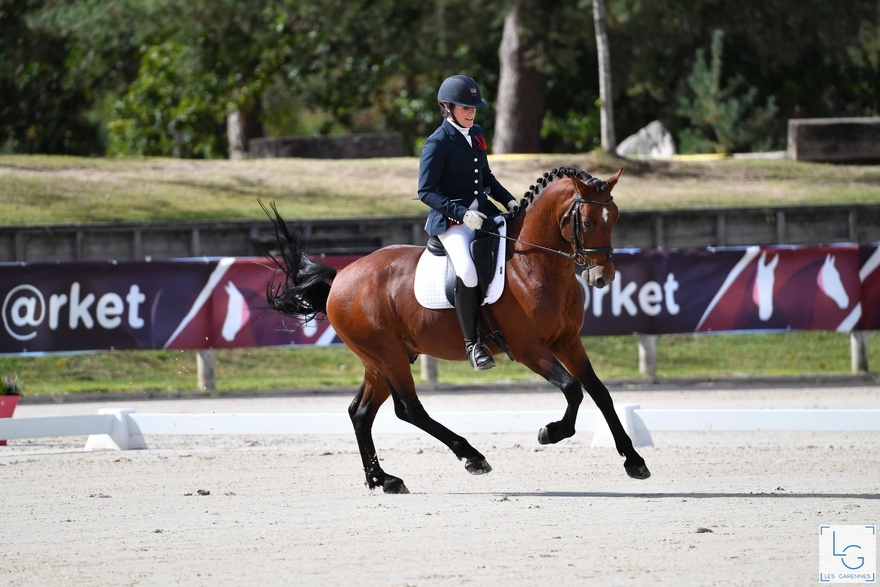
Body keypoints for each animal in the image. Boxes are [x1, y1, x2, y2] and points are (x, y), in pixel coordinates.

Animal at [258, 168, 648, 494]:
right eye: (587, 221)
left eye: (614, 218)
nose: (602, 278)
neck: (535, 262)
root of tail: (341, 278)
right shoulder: (527, 348)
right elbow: (572, 389)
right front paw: (550, 432)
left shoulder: (566, 341)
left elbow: (599, 392)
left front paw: (634, 461)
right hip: (389, 356)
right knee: (408, 409)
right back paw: (472, 457)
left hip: (380, 360)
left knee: (361, 412)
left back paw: (382, 479)